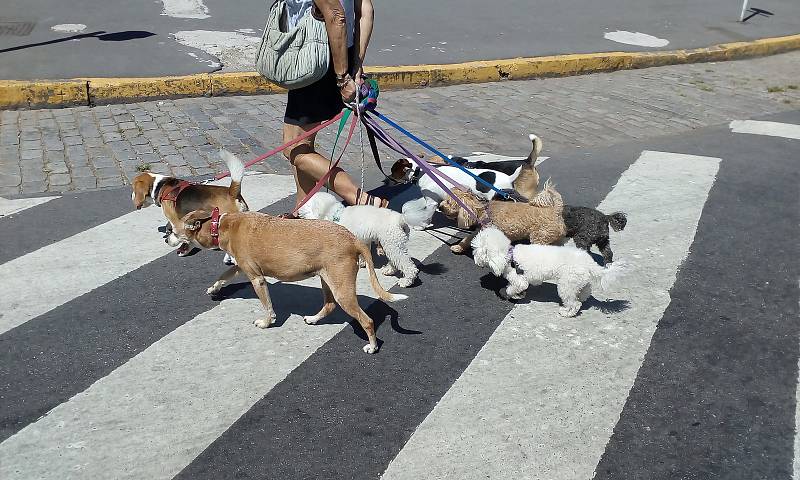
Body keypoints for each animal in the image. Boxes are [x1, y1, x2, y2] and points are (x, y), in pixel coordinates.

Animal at [167, 210, 406, 352]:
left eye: (172, 230)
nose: (164, 237)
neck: (221, 224)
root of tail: (352, 238)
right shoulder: (240, 266)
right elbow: (223, 276)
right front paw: (214, 288)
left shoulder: (257, 279)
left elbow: (268, 306)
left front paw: (266, 322)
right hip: (327, 280)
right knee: (329, 305)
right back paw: (313, 319)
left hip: (342, 289)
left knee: (367, 320)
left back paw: (372, 346)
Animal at [296, 191, 434, 286]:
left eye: (307, 204)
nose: (299, 204)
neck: (336, 216)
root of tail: (401, 219)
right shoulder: (363, 240)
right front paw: (362, 262)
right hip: (393, 244)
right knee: (396, 260)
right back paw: (389, 270)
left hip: (393, 243)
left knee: (408, 266)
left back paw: (406, 281)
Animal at [476, 227, 624, 316]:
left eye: (477, 251)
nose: (476, 262)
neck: (510, 256)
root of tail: (589, 263)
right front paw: (519, 295)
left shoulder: (519, 279)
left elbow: (513, 288)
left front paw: (510, 294)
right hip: (579, 280)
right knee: (585, 292)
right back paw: (581, 297)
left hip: (566, 284)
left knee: (575, 303)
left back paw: (567, 312)